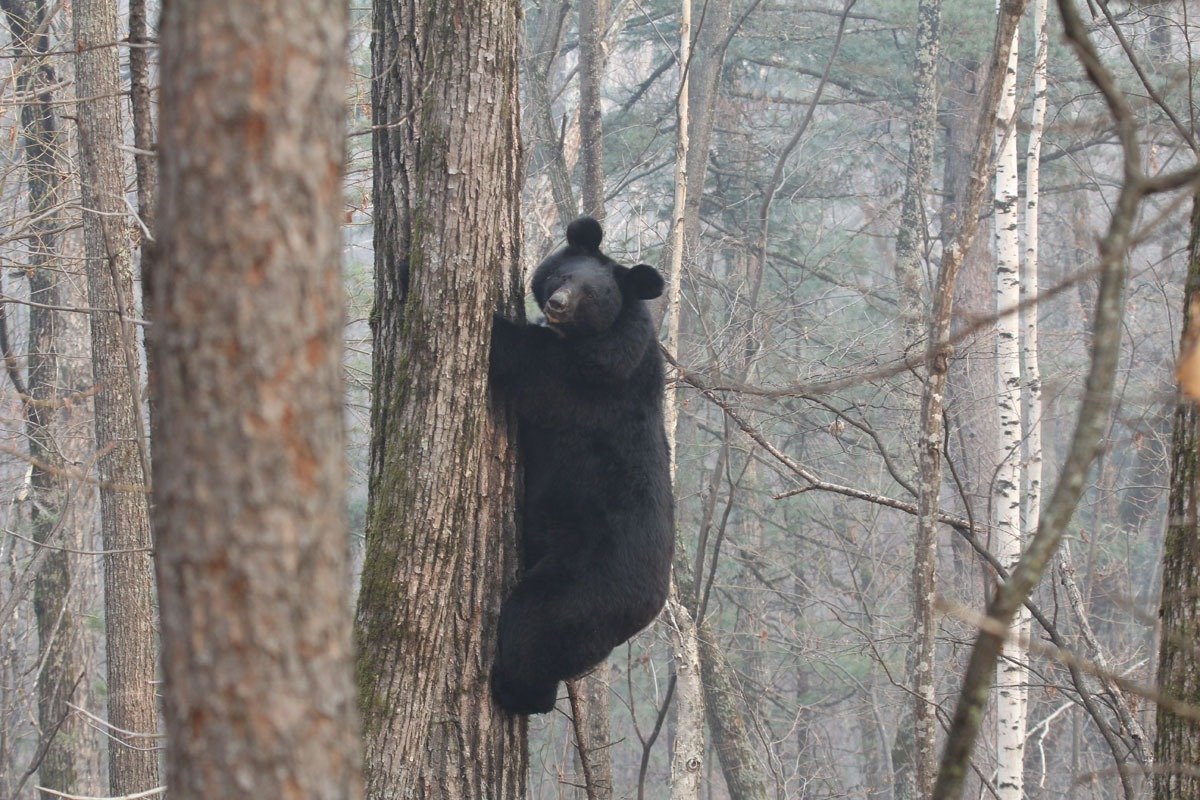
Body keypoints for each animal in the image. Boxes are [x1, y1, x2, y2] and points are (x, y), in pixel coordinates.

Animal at [487, 214, 676, 714]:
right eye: (562, 275)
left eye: (590, 296)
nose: (556, 304)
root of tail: (643, 612)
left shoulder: (591, 382)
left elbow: (527, 363)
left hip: (581, 581)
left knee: (532, 624)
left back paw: (515, 691)